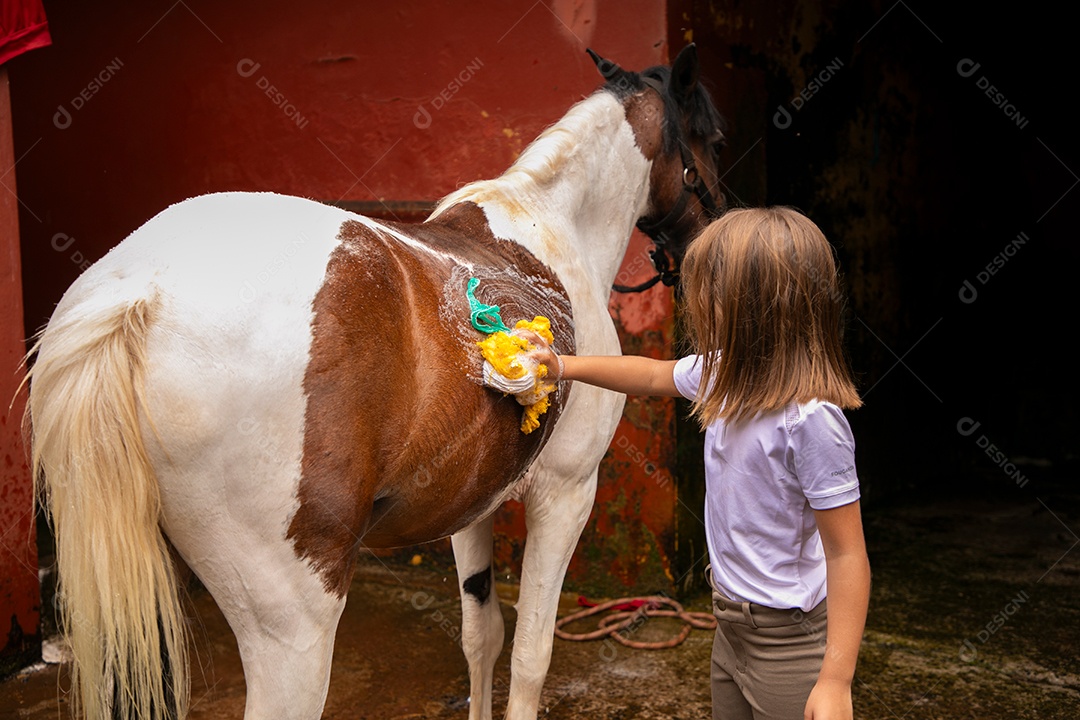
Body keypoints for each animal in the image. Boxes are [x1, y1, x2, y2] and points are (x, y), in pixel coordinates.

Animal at [26, 44, 726, 720]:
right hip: (294, 620)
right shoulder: (566, 492)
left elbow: (482, 636)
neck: (552, 223)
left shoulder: (472, 499)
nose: (708, 234)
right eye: (713, 138)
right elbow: (531, 656)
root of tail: (141, 292)